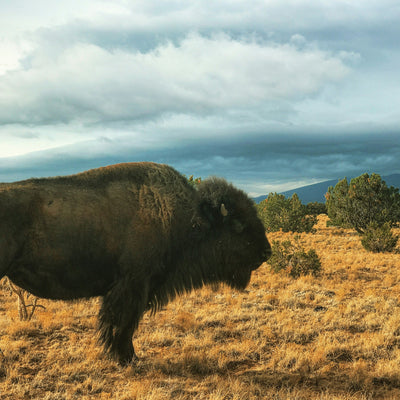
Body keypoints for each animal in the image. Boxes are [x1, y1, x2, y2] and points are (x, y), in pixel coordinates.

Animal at [0, 162, 272, 366]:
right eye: (238, 224)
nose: (266, 252)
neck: (187, 217)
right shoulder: (133, 286)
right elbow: (123, 325)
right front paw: (126, 358)